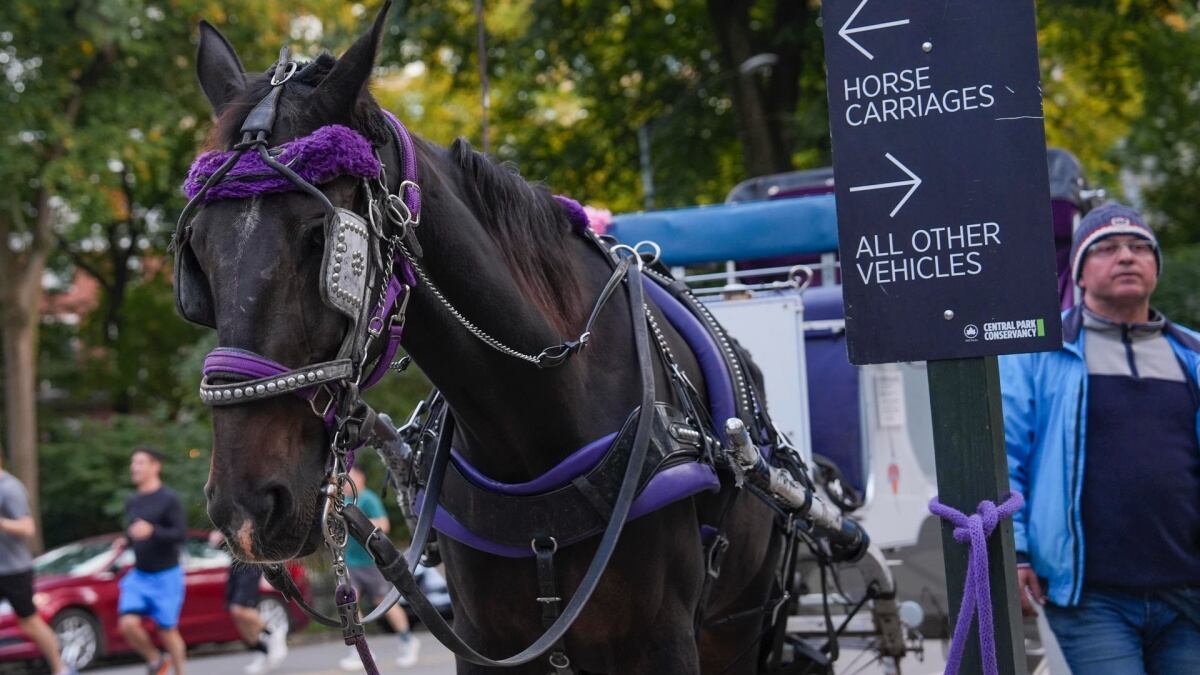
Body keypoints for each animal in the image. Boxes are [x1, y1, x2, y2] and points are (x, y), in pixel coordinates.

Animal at [180, 5, 789, 673]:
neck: (534, 425)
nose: (244, 509)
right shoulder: (483, 641)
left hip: (737, 628)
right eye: (198, 253)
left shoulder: (663, 642)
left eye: (324, 240)